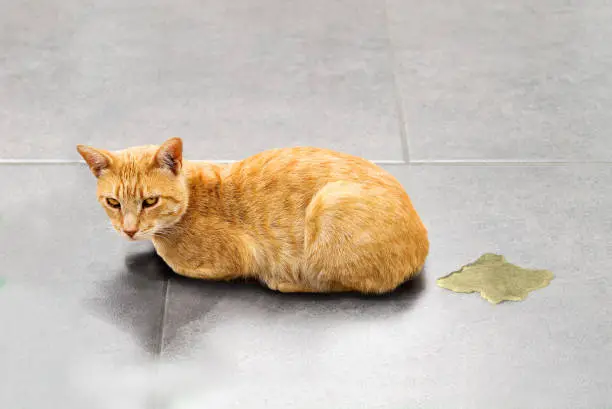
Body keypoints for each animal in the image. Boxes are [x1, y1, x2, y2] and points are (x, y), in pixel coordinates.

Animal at [77, 139, 430, 292]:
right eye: (113, 202)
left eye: (150, 201)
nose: (129, 230)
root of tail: (423, 241)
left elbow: (170, 261)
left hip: (329, 202)